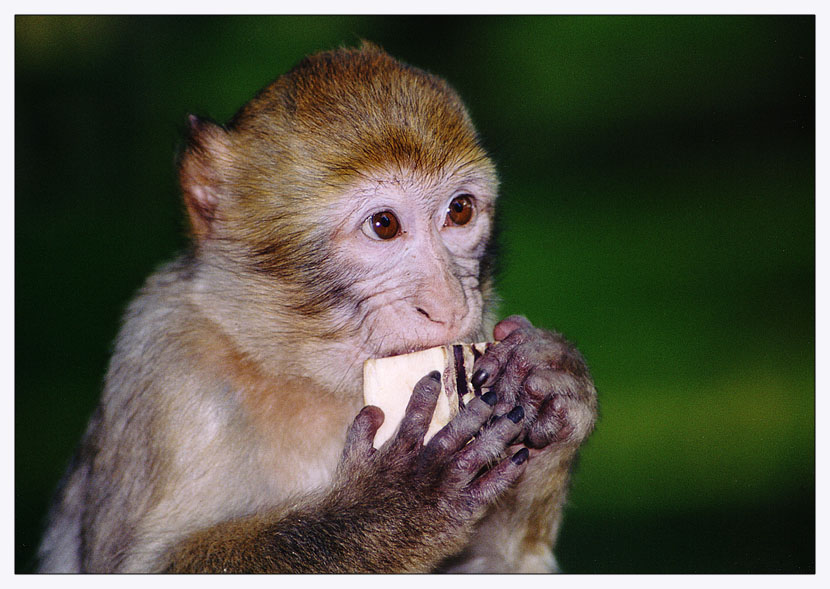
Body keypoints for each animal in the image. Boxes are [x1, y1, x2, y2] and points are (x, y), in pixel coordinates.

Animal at [37, 42, 600, 576]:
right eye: (384, 226)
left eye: (459, 211)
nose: (447, 303)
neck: (300, 371)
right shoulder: (165, 360)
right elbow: (148, 565)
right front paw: (392, 507)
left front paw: (550, 379)